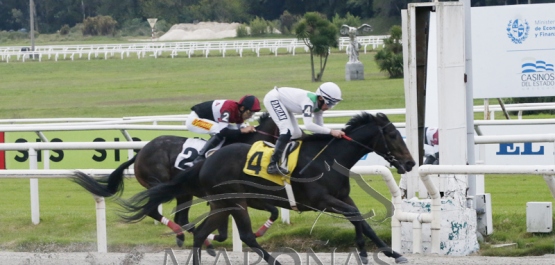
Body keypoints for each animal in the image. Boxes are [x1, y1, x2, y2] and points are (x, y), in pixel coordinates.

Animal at [122, 112, 416, 264]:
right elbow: (356, 217)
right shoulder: (321, 201)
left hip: (220, 202)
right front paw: (372, 252)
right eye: (393, 135)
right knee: (246, 236)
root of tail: (205, 162)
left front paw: (384, 252)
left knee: (200, 232)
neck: (328, 158)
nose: (410, 162)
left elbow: (361, 220)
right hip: (235, 200)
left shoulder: (342, 197)